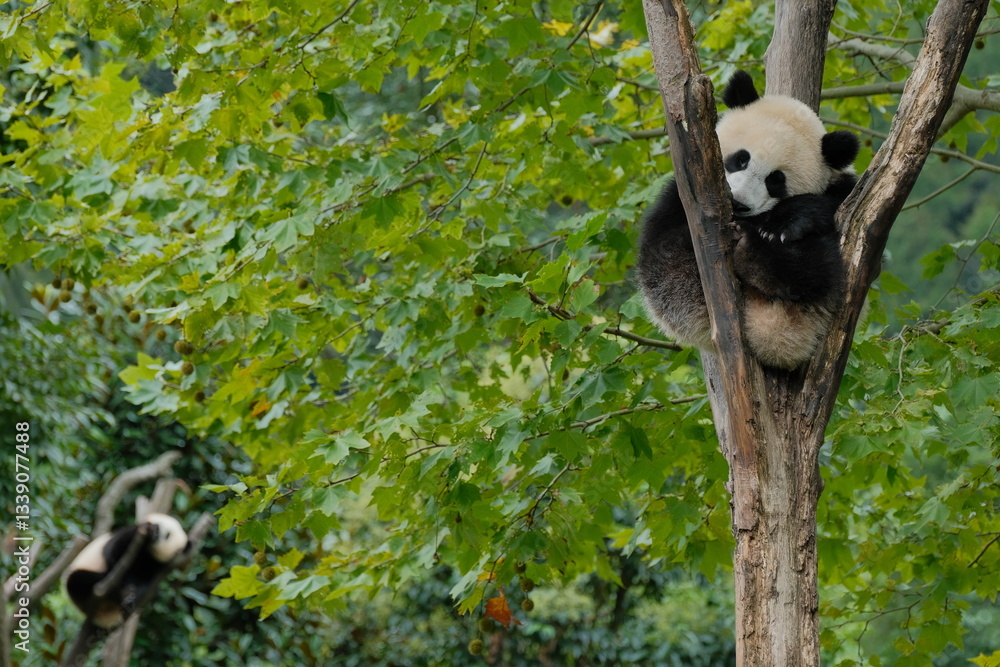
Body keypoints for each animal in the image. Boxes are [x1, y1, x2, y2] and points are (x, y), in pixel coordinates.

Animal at [637, 70, 859, 370]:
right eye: (741, 159)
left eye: (776, 180)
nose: (739, 204)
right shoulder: (681, 196)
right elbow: (661, 242)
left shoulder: (841, 184)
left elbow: (836, 198)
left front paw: (789, 221)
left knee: (818, 267)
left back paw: (755, 255)